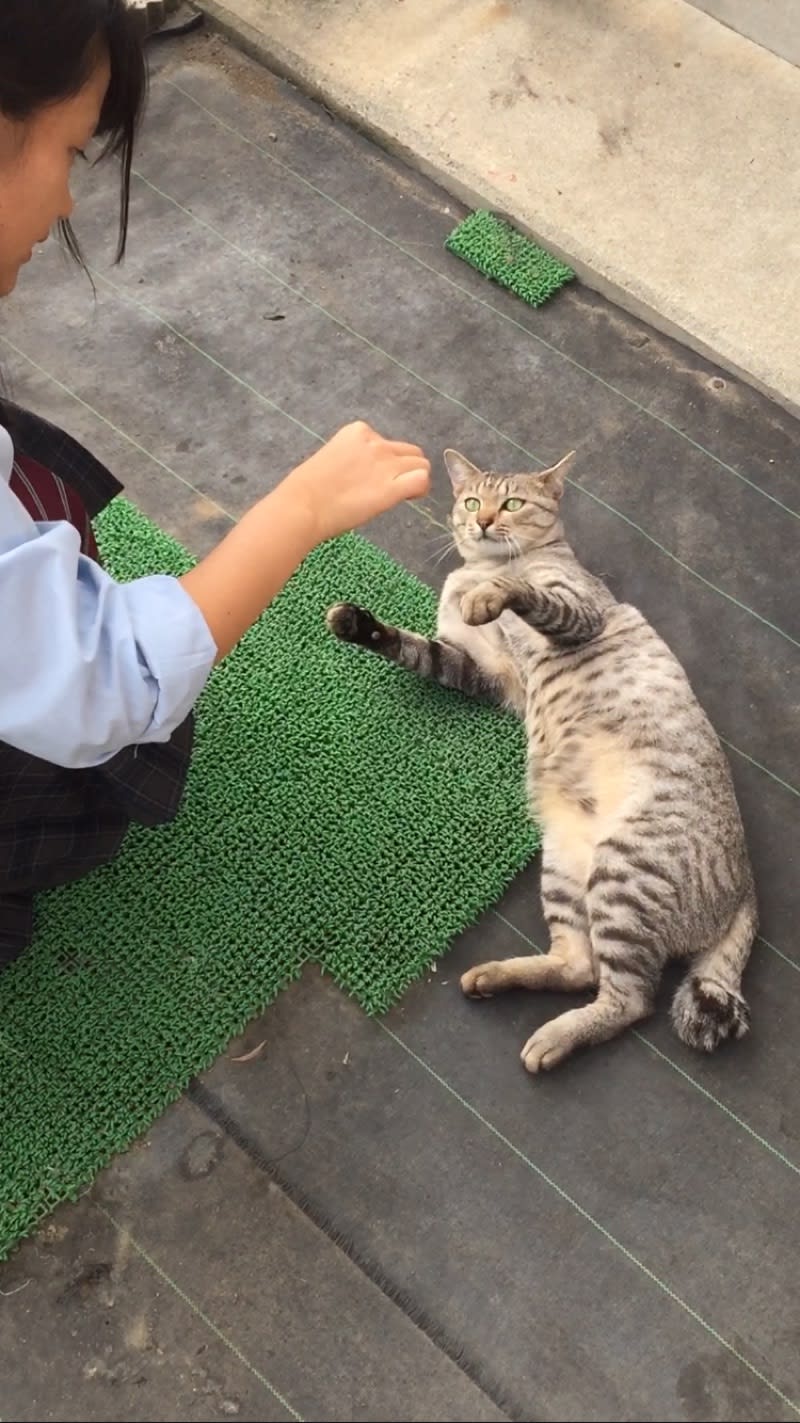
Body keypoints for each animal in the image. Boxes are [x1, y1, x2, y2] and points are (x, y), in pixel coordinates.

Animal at [325, 443, 751, 1070]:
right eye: (472, 501)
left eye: (513, 504)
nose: (482, 522)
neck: (479, 568)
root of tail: (746, 889)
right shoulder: (478, 668)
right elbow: (415, 647)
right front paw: (360, 624)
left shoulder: (574, 613)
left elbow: (529, 593)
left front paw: (495, 593)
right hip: (567, 866)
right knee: (578, 966)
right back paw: (494, 977)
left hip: (624, 872)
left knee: (628, 999)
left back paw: (552, 1039)